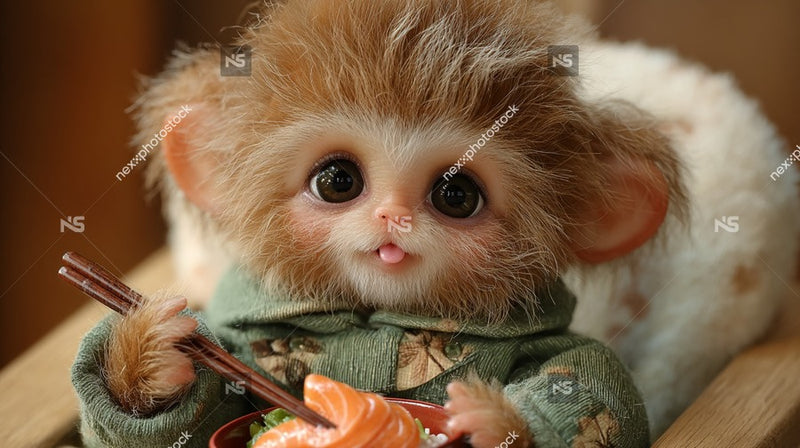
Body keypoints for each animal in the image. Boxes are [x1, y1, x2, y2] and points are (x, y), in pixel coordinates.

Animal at [70, 0, 800, 447]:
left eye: (456, 194)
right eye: (338, 180)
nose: (392, 216)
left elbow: (597, 389)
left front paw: (494, 418)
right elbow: (190, 419)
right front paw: (150, 354)